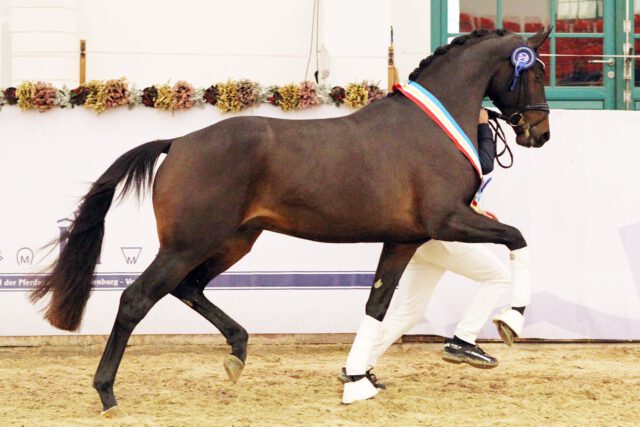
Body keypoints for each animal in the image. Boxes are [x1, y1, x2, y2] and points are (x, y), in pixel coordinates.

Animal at [31, 28, 551, 413]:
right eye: (535, 71)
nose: (540, 133)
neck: (429, 128)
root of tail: (177, 143)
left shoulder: (404, 240)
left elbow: (377, 306)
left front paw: (358, 380)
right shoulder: (448, 221)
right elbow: (518, 238)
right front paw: (511, 320)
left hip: (234, 241)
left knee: (189, 288)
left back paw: (237, 352)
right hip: (188, 244)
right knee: (137, 299)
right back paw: (107, 393)